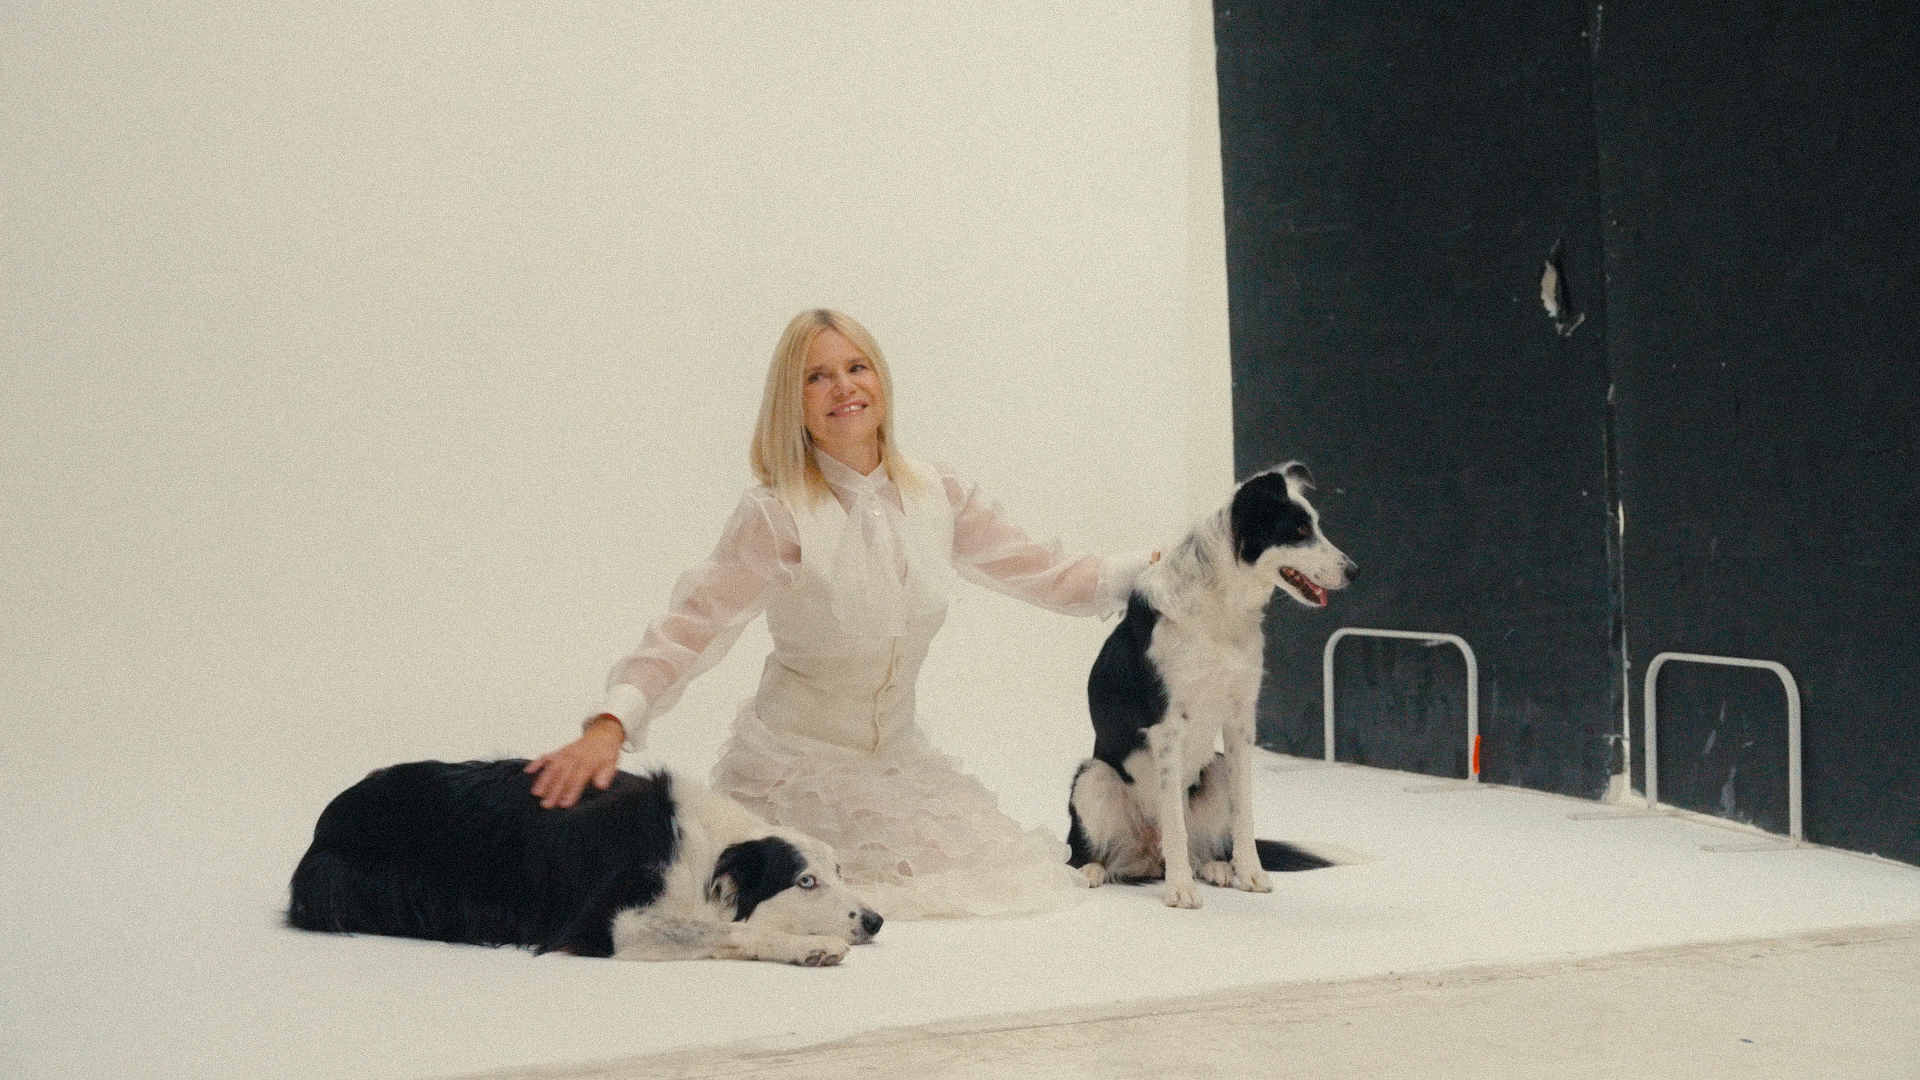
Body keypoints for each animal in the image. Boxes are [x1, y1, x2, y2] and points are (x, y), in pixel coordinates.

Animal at [288, 759, 882, 965]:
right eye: (805, 882)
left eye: (840, 871)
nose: (876, 920)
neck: (710, 851)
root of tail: (327, 820)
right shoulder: (601, 925)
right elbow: (720, 930)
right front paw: (809, 947)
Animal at [1067, 462, 1353, 908]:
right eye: (1299, 531)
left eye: (1315, 526)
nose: (1354, 571)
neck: (1221, 609)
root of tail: (1147, 856)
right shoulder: (1168, 729)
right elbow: (1175, 824)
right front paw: (1180, 890)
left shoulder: (1240, 721)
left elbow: (1243, 812)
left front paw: (1249, 874)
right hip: (1092, 776)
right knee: (1091, 852)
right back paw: (1093, 870)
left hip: (1214, 767)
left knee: (1197, 848)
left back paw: (1215, 868)